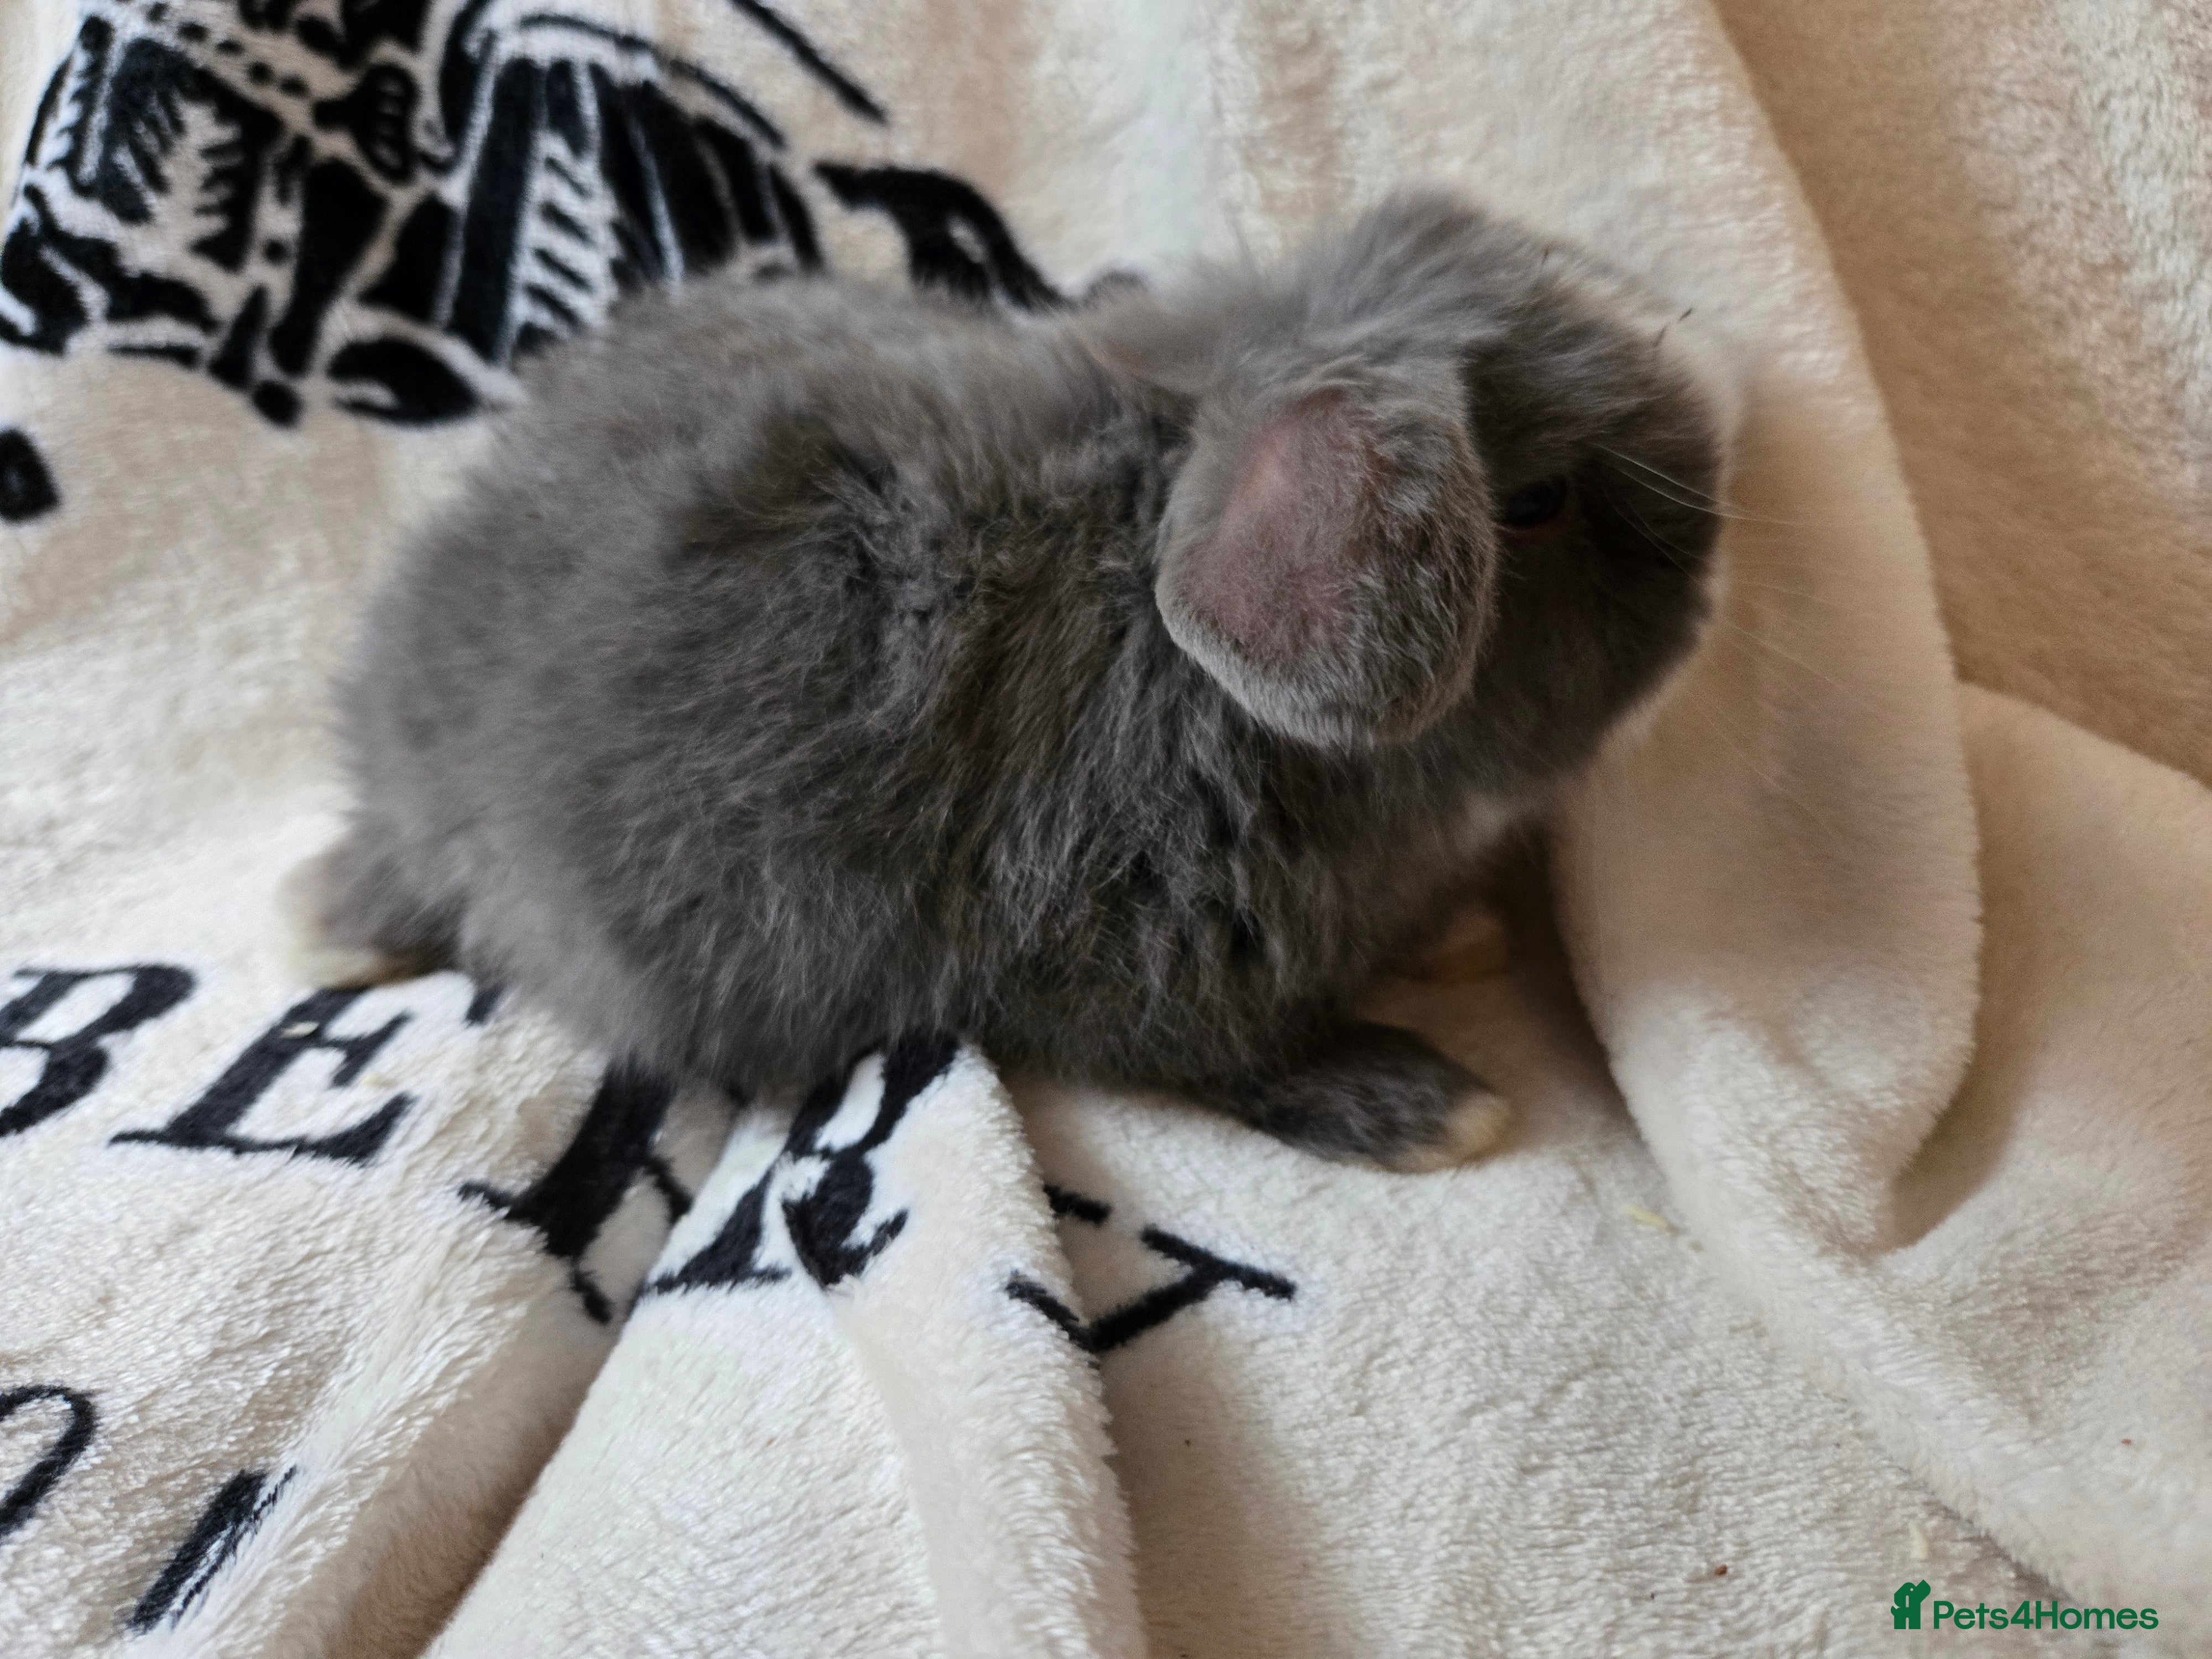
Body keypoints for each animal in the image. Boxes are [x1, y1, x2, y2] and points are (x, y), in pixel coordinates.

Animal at [287, 190, 1733, 1171]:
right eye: (1534, 508)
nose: (1718, 564)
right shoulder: (1129, 966)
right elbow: (1238, 1060)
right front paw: (1428, 1108)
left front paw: (1458, 937)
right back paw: (329, 927)